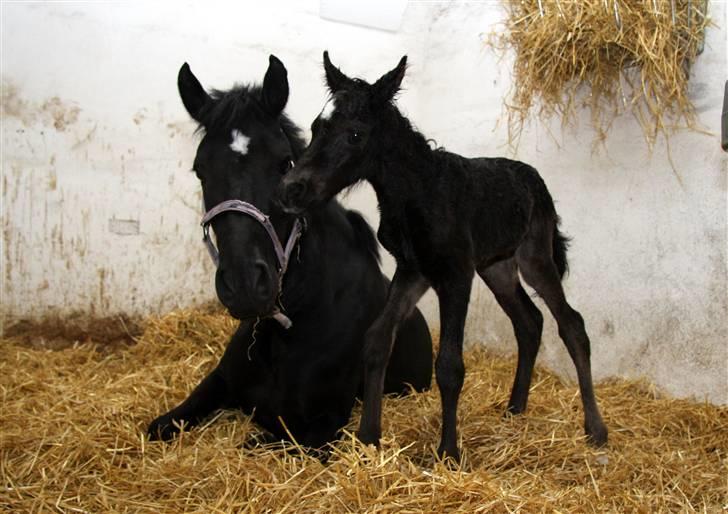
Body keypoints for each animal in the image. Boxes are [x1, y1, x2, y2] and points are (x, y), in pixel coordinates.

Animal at [278, 53, 608, 460]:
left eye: (355, 134)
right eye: (316, 126)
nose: (291, 189)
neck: (419, 193)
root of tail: (535, 180)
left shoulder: (455, 275)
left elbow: (450, 364)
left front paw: (448, 452)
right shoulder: (413, 271)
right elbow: (376, 340)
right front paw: (369, 437)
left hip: (535, 257)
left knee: (571, 324)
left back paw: (595, 429)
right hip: (497, 268)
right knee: (529, 322)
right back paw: (515, 408)